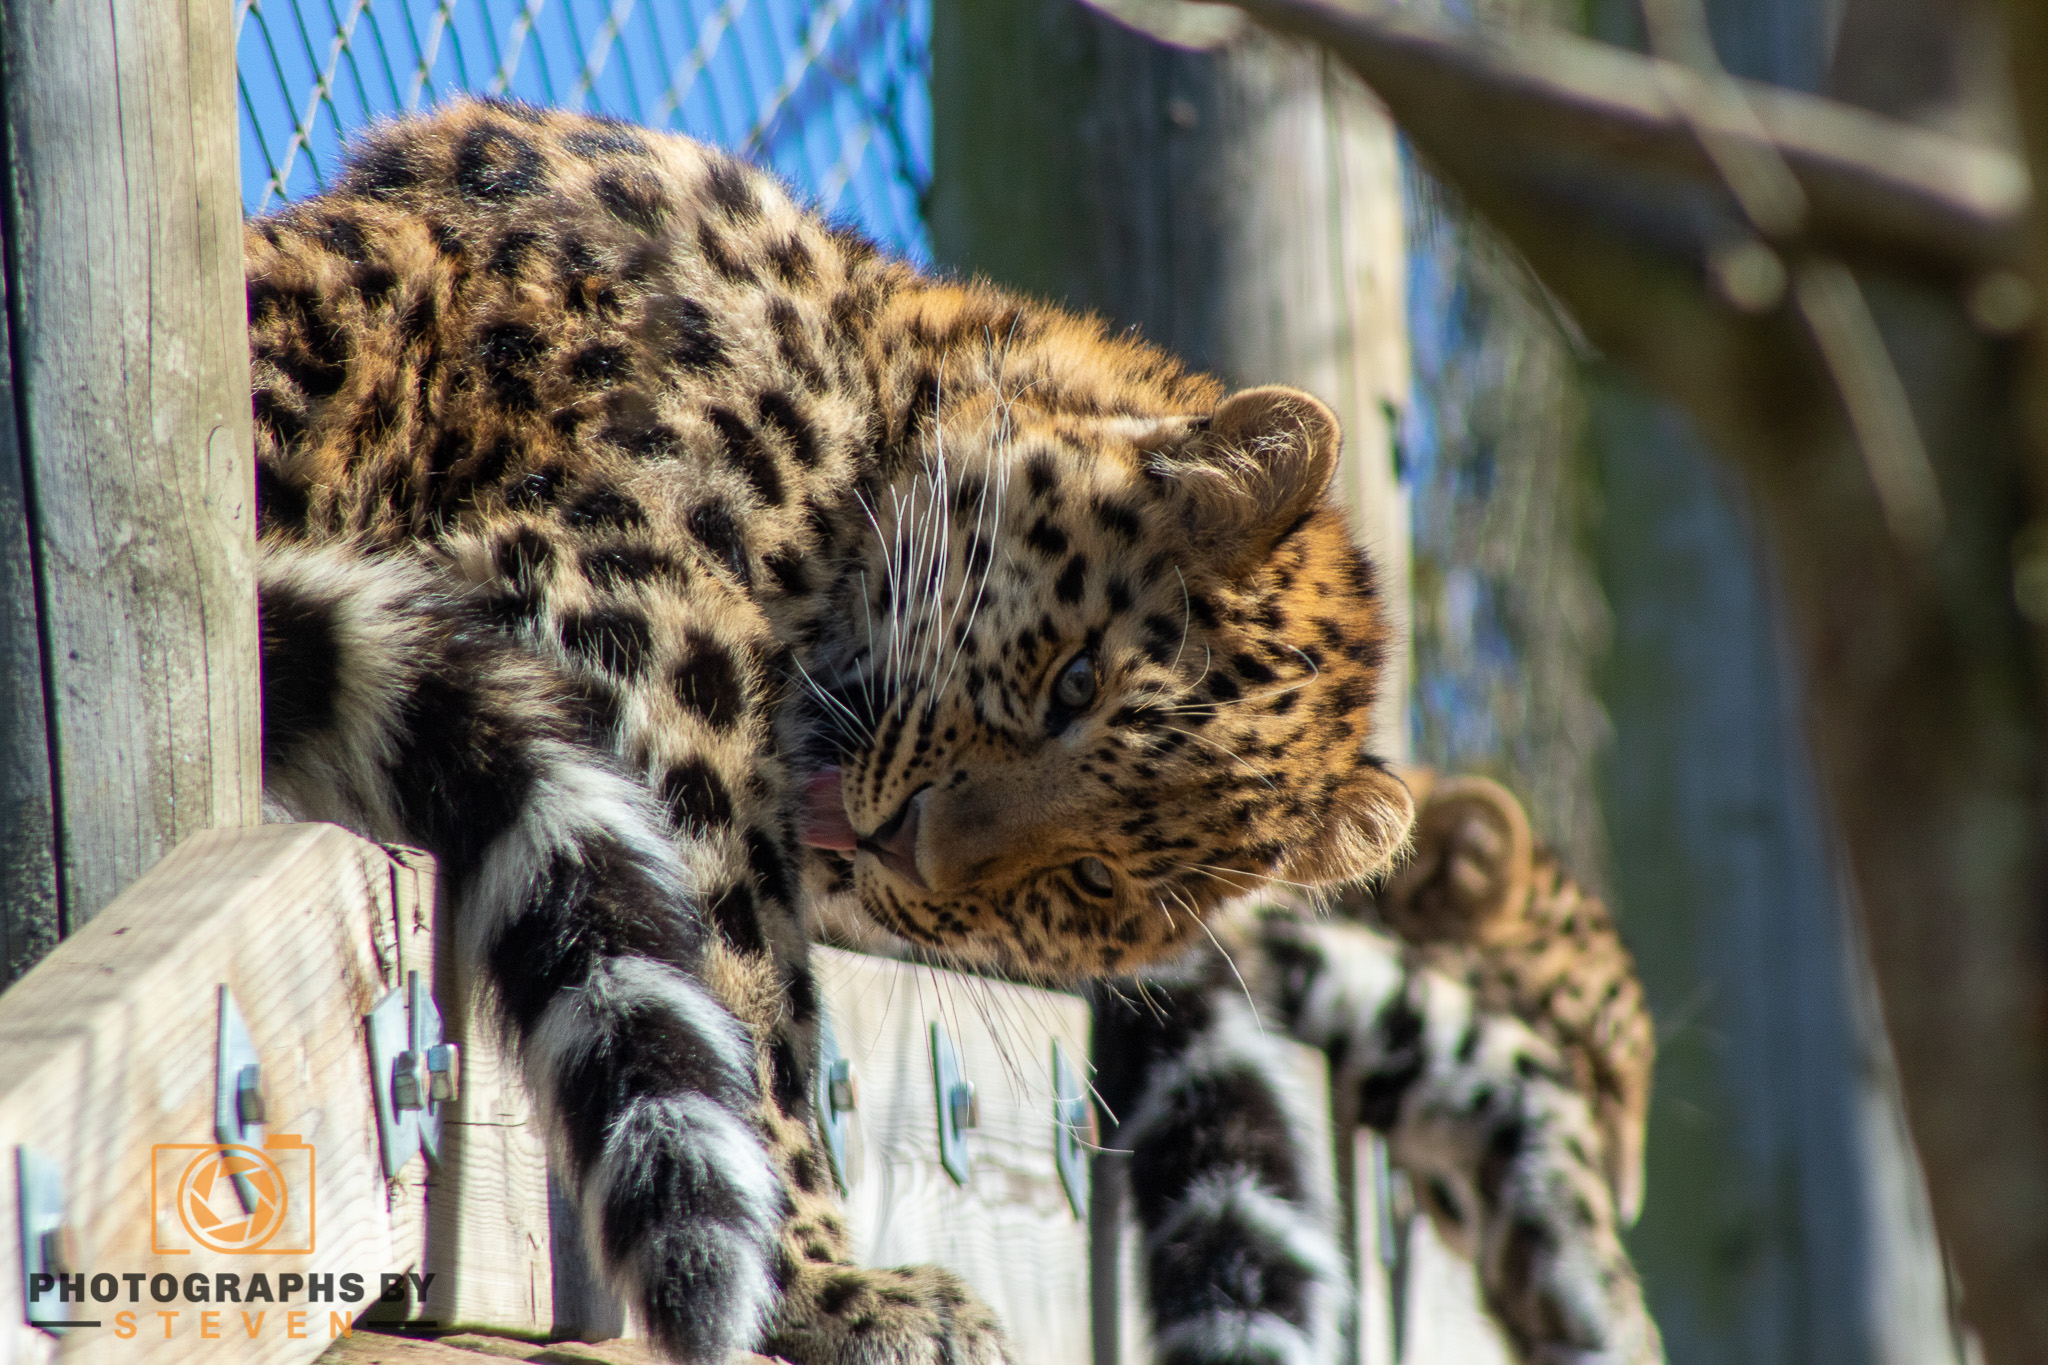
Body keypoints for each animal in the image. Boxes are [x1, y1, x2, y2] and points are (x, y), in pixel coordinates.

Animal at [247, 96, 1658, 1365]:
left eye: (1095, 884)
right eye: (1073, 681)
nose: (904, 850)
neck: (876, 371)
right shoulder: (631, 612)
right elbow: (745, 989)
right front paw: (819, 1285)